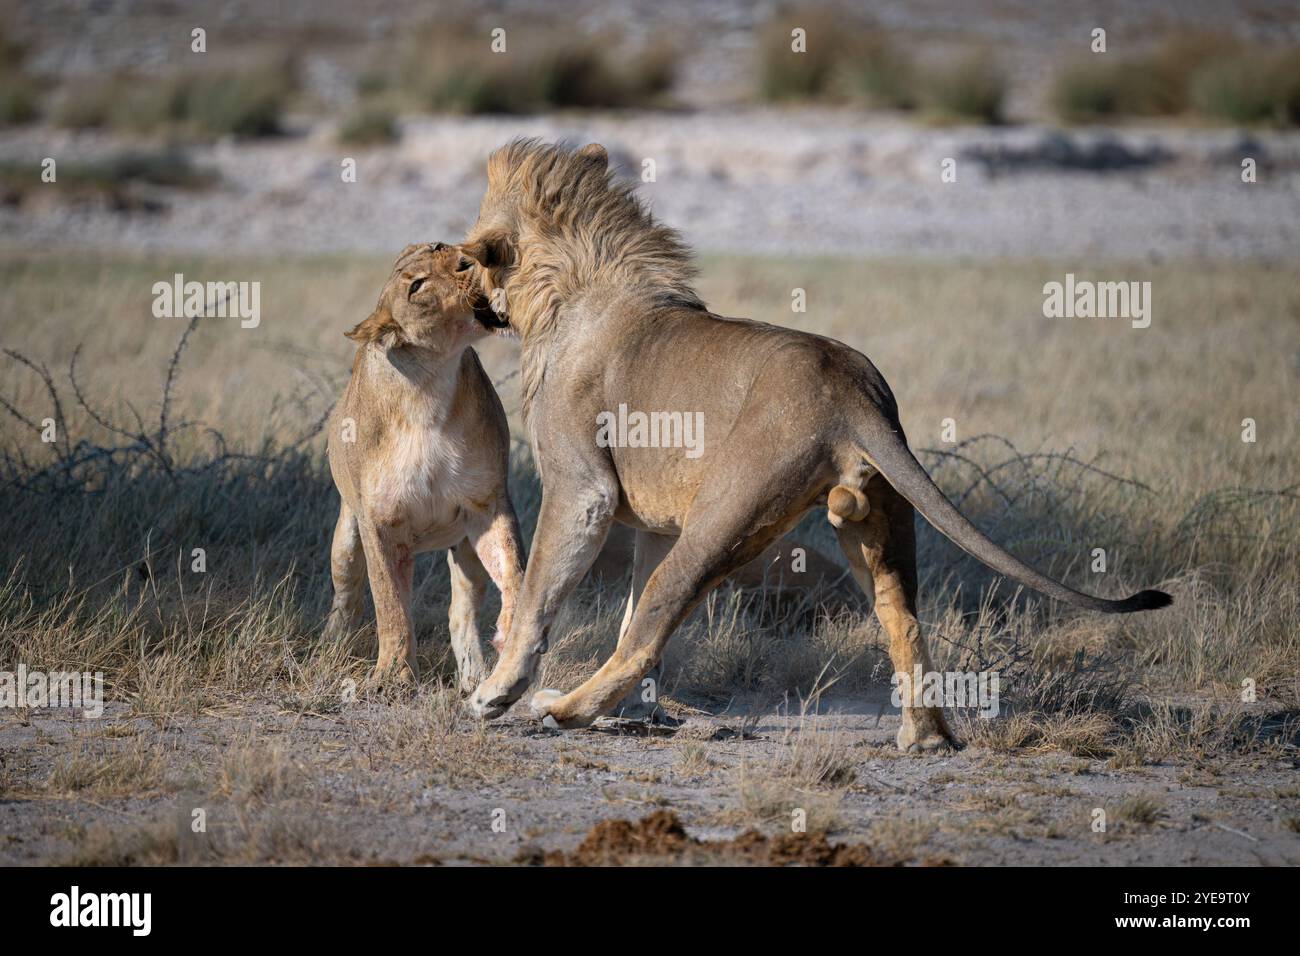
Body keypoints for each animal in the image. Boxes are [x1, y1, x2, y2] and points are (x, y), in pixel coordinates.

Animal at [325, 239, 522, 686]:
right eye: (416, 286)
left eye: (440, 247)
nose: (467, 262)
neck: (429, 389)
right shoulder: (379, 521)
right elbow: (391, 605)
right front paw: (393, 677)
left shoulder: (486, 504)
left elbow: (512, 568)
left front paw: (513, 631)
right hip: (346, 536)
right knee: (346, 595)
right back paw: (331, 648)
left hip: (463, 547)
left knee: (461, 612)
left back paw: (474, 679)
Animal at [462, 143, 1175, 754]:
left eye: (468, 260)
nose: (464, 289)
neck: (567, 289)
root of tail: (849, 385)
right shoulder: (655, 521)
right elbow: (629, 609)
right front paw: (634, 711)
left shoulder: (583, 488)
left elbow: (540, 596)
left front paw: (496, 692)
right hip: (876, 514)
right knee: (900, 615)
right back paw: (925, 736)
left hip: (725, 511)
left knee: (661, 611)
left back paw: (562, 709)